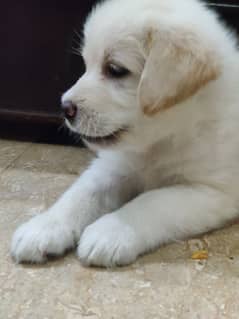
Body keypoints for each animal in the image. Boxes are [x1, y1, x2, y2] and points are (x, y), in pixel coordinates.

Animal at [11, 0, 239, 268]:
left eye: (115, 69)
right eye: (86, 65)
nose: (65, 108)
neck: (162, 138)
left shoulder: (212, 191)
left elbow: (152, 201)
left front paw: (110, 231)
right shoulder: (113, 166)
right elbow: (81, 194)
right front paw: (43, 227)